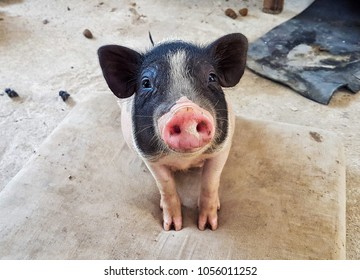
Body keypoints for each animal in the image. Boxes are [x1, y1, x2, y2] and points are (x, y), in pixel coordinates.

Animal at [97, 32, 248, 232]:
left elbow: (210, 181)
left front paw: (208, 227)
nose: (186, 111)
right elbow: (166, 186)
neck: (184, 160)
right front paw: (173, 228)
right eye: (146, 83)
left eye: (212, 77)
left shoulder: (222, 147)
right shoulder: (149, 156)